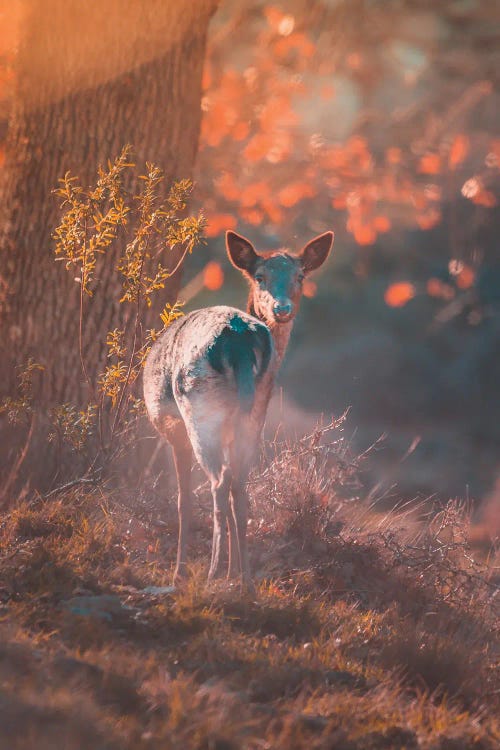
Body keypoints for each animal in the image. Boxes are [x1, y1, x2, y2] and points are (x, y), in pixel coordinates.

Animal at [143, 229, 334, 588]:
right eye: (260, 276)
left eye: (300, 276)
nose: (282, 308)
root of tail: (239, 340)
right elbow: (234, 487)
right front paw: (234, 572)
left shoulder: (172, 429)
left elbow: (183, 498)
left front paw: (180, 570)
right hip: (254, 410)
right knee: (239, 484)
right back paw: (244, 578)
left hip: (199, 406)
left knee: (218, 483)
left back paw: (211, 572)